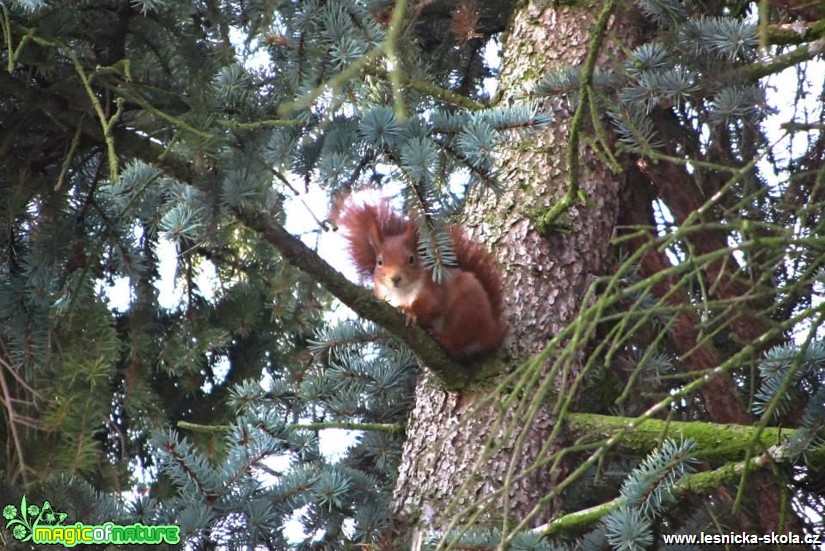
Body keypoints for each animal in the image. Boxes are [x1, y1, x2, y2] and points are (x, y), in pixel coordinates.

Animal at [334, 199, 502, 358]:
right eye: (379, 262)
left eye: (411, 259)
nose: (395, 278)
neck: (401, 293)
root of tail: (493, 329)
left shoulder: (434, 287)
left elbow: (432, 304)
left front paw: (409, 311)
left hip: (465, 311)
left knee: (459, 339)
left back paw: (443, 339)